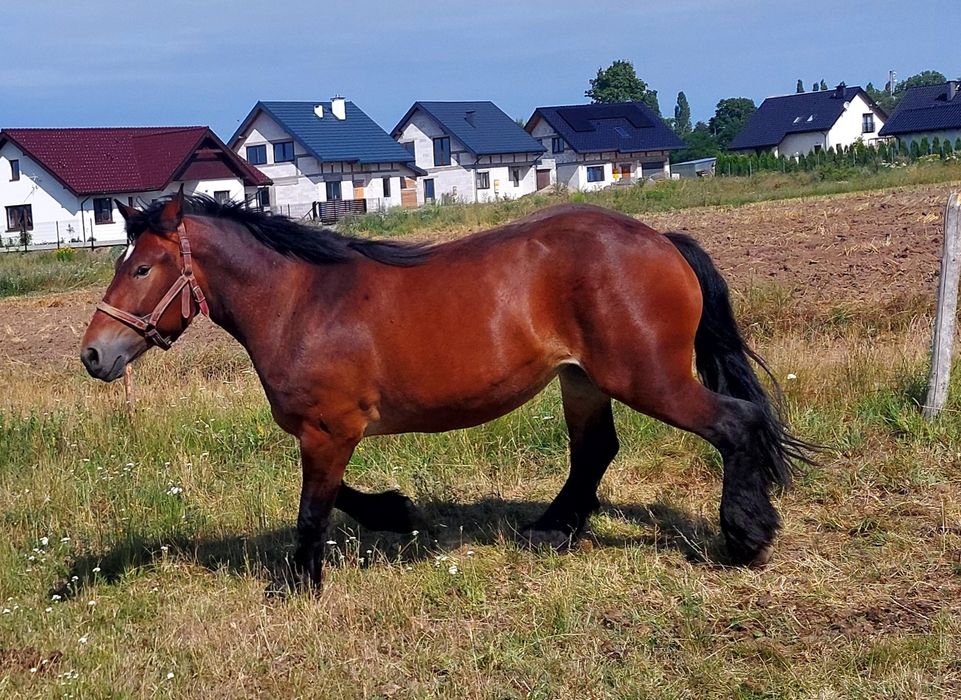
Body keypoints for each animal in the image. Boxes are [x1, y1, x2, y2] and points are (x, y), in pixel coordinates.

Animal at [82, 189, 808, 588]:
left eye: (143, 268)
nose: (93, 353)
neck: (300, 300)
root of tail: (660, 239)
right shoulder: (330, 430)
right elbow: (338, 497)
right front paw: (398, 511)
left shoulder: (329, 428)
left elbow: (313, 510)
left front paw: (296, 587)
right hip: (582, 381)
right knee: (594, 452)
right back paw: (550, 532)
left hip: (648, 378)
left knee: (737, 424)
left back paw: (746, 535)